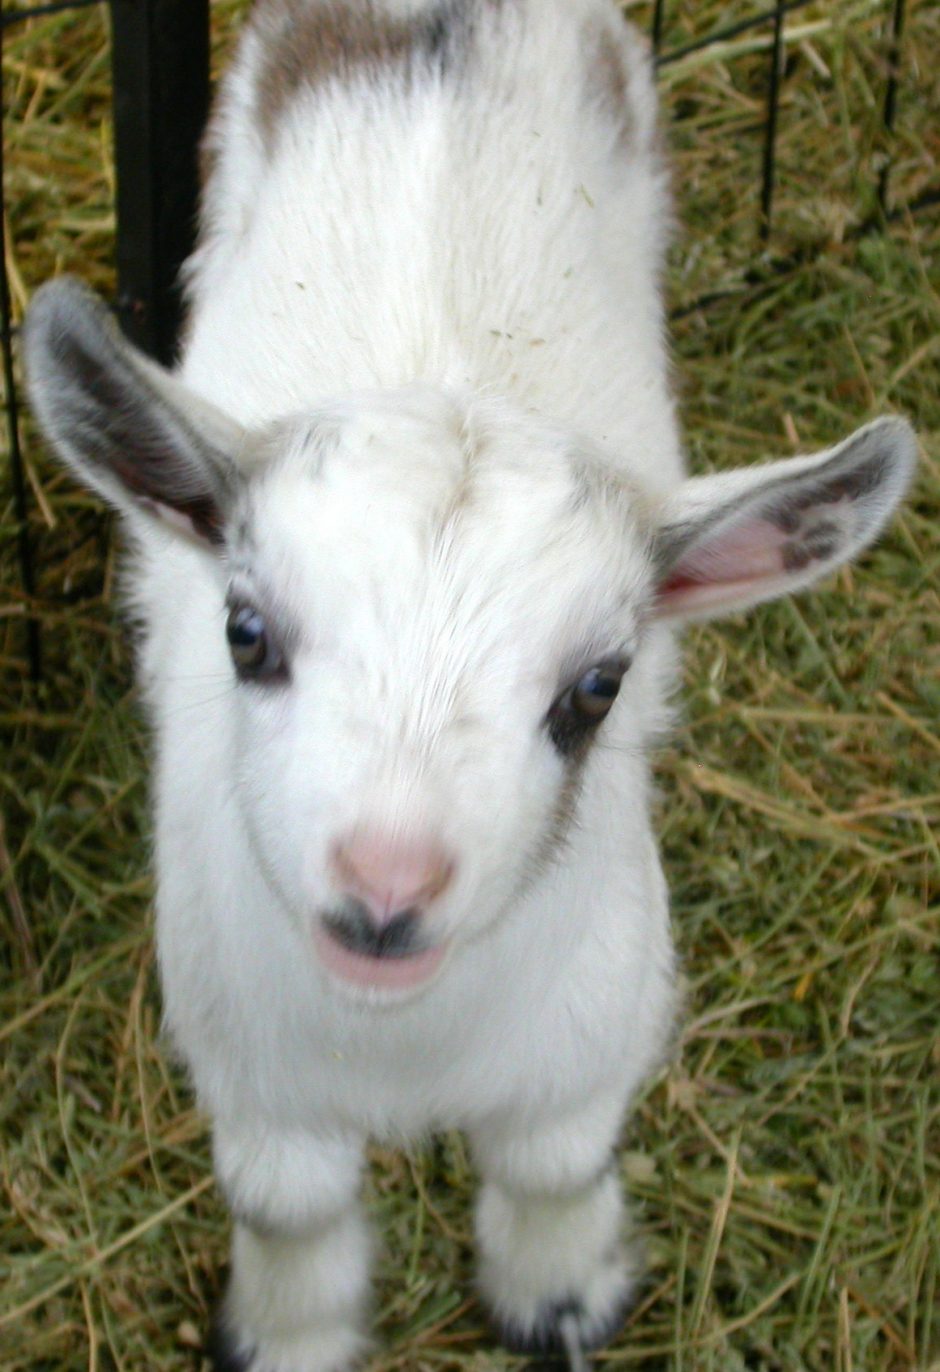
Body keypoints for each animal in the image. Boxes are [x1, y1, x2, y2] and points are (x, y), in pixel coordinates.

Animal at [24, 1, 915, 1368]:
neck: (404, 1040)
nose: (386, 890)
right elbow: (287, 1204)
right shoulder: (246, 1060)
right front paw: (292, 1333)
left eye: (597, 686)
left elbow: (553, 1163)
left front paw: (559, 1292)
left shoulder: (590, 1028)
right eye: (246, 631)